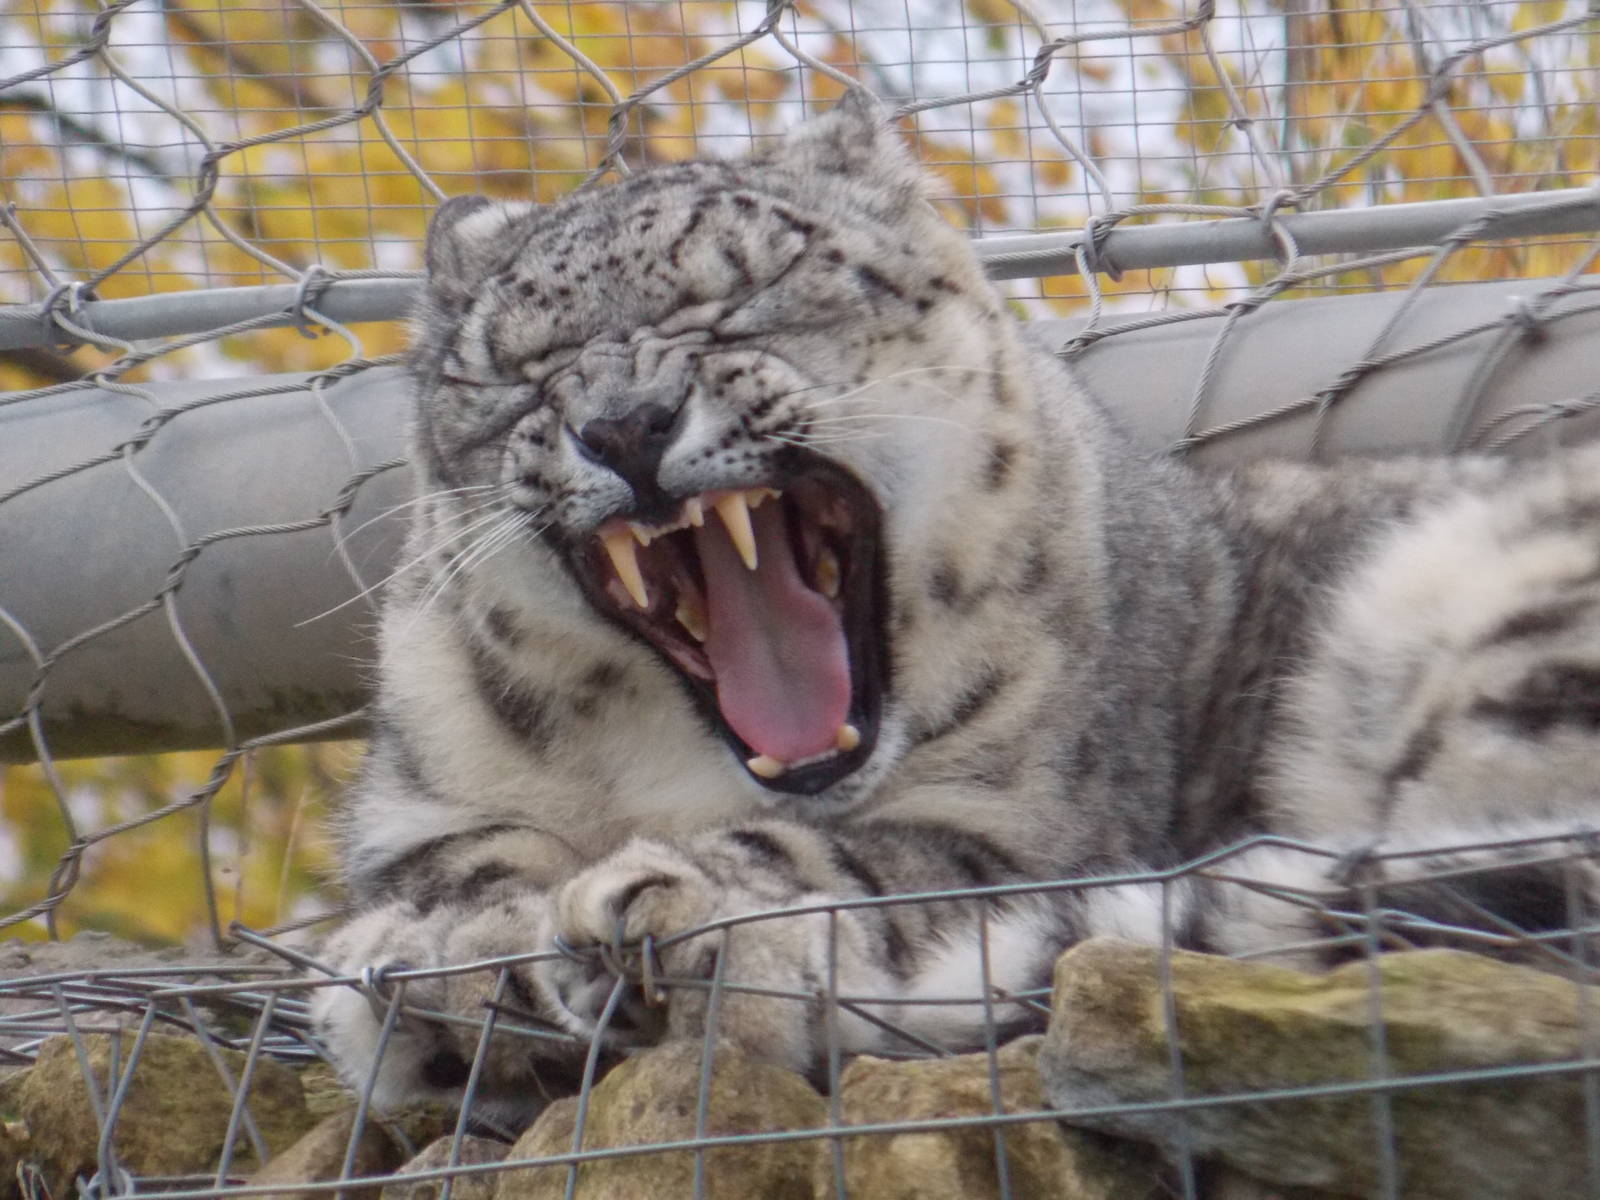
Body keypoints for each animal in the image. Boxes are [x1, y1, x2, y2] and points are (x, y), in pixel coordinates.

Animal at [312, 91, 1600, 1129]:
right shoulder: (429, 791)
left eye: (744, 296)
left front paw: (652, 910)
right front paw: (455, 956)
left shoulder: (1020, 823)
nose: (624, 424)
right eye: (515, 372)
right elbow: (454, 867)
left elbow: (872, 865)